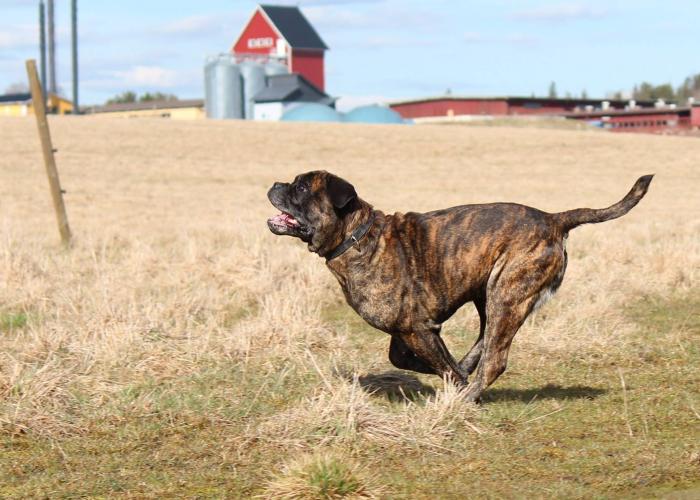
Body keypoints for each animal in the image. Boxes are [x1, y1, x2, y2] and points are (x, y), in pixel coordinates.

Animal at [266, 172, 652, 402]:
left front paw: (457, 385)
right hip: (490, 295)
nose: (275, 185)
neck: (357, 236)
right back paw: (467, 374)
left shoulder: (416, 328)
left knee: (495, 359)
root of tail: (554, 220)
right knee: (485, 340)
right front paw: (453, 371)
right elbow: (410, 359)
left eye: (302, 187)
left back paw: (466, 398)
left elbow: (440, 364)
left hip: (506, 293)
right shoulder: (408, 331)